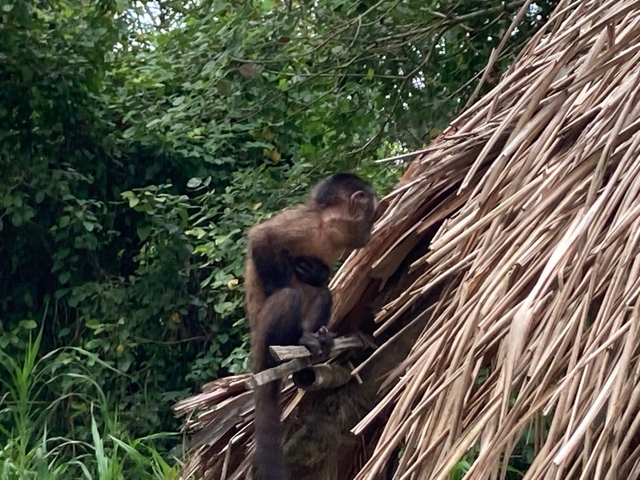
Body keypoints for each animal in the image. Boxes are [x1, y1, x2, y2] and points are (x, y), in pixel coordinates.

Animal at [244, 173, 379, 480]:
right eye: (371, 217)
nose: (371, 232)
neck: (328, 228)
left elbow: (320, 283)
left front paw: (317, 273)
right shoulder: (305, 225)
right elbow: (262, 238)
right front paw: (282, 281)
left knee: (322, 294)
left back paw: (314, 339)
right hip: (263, 331)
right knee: (288, 297)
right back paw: (294, 341)